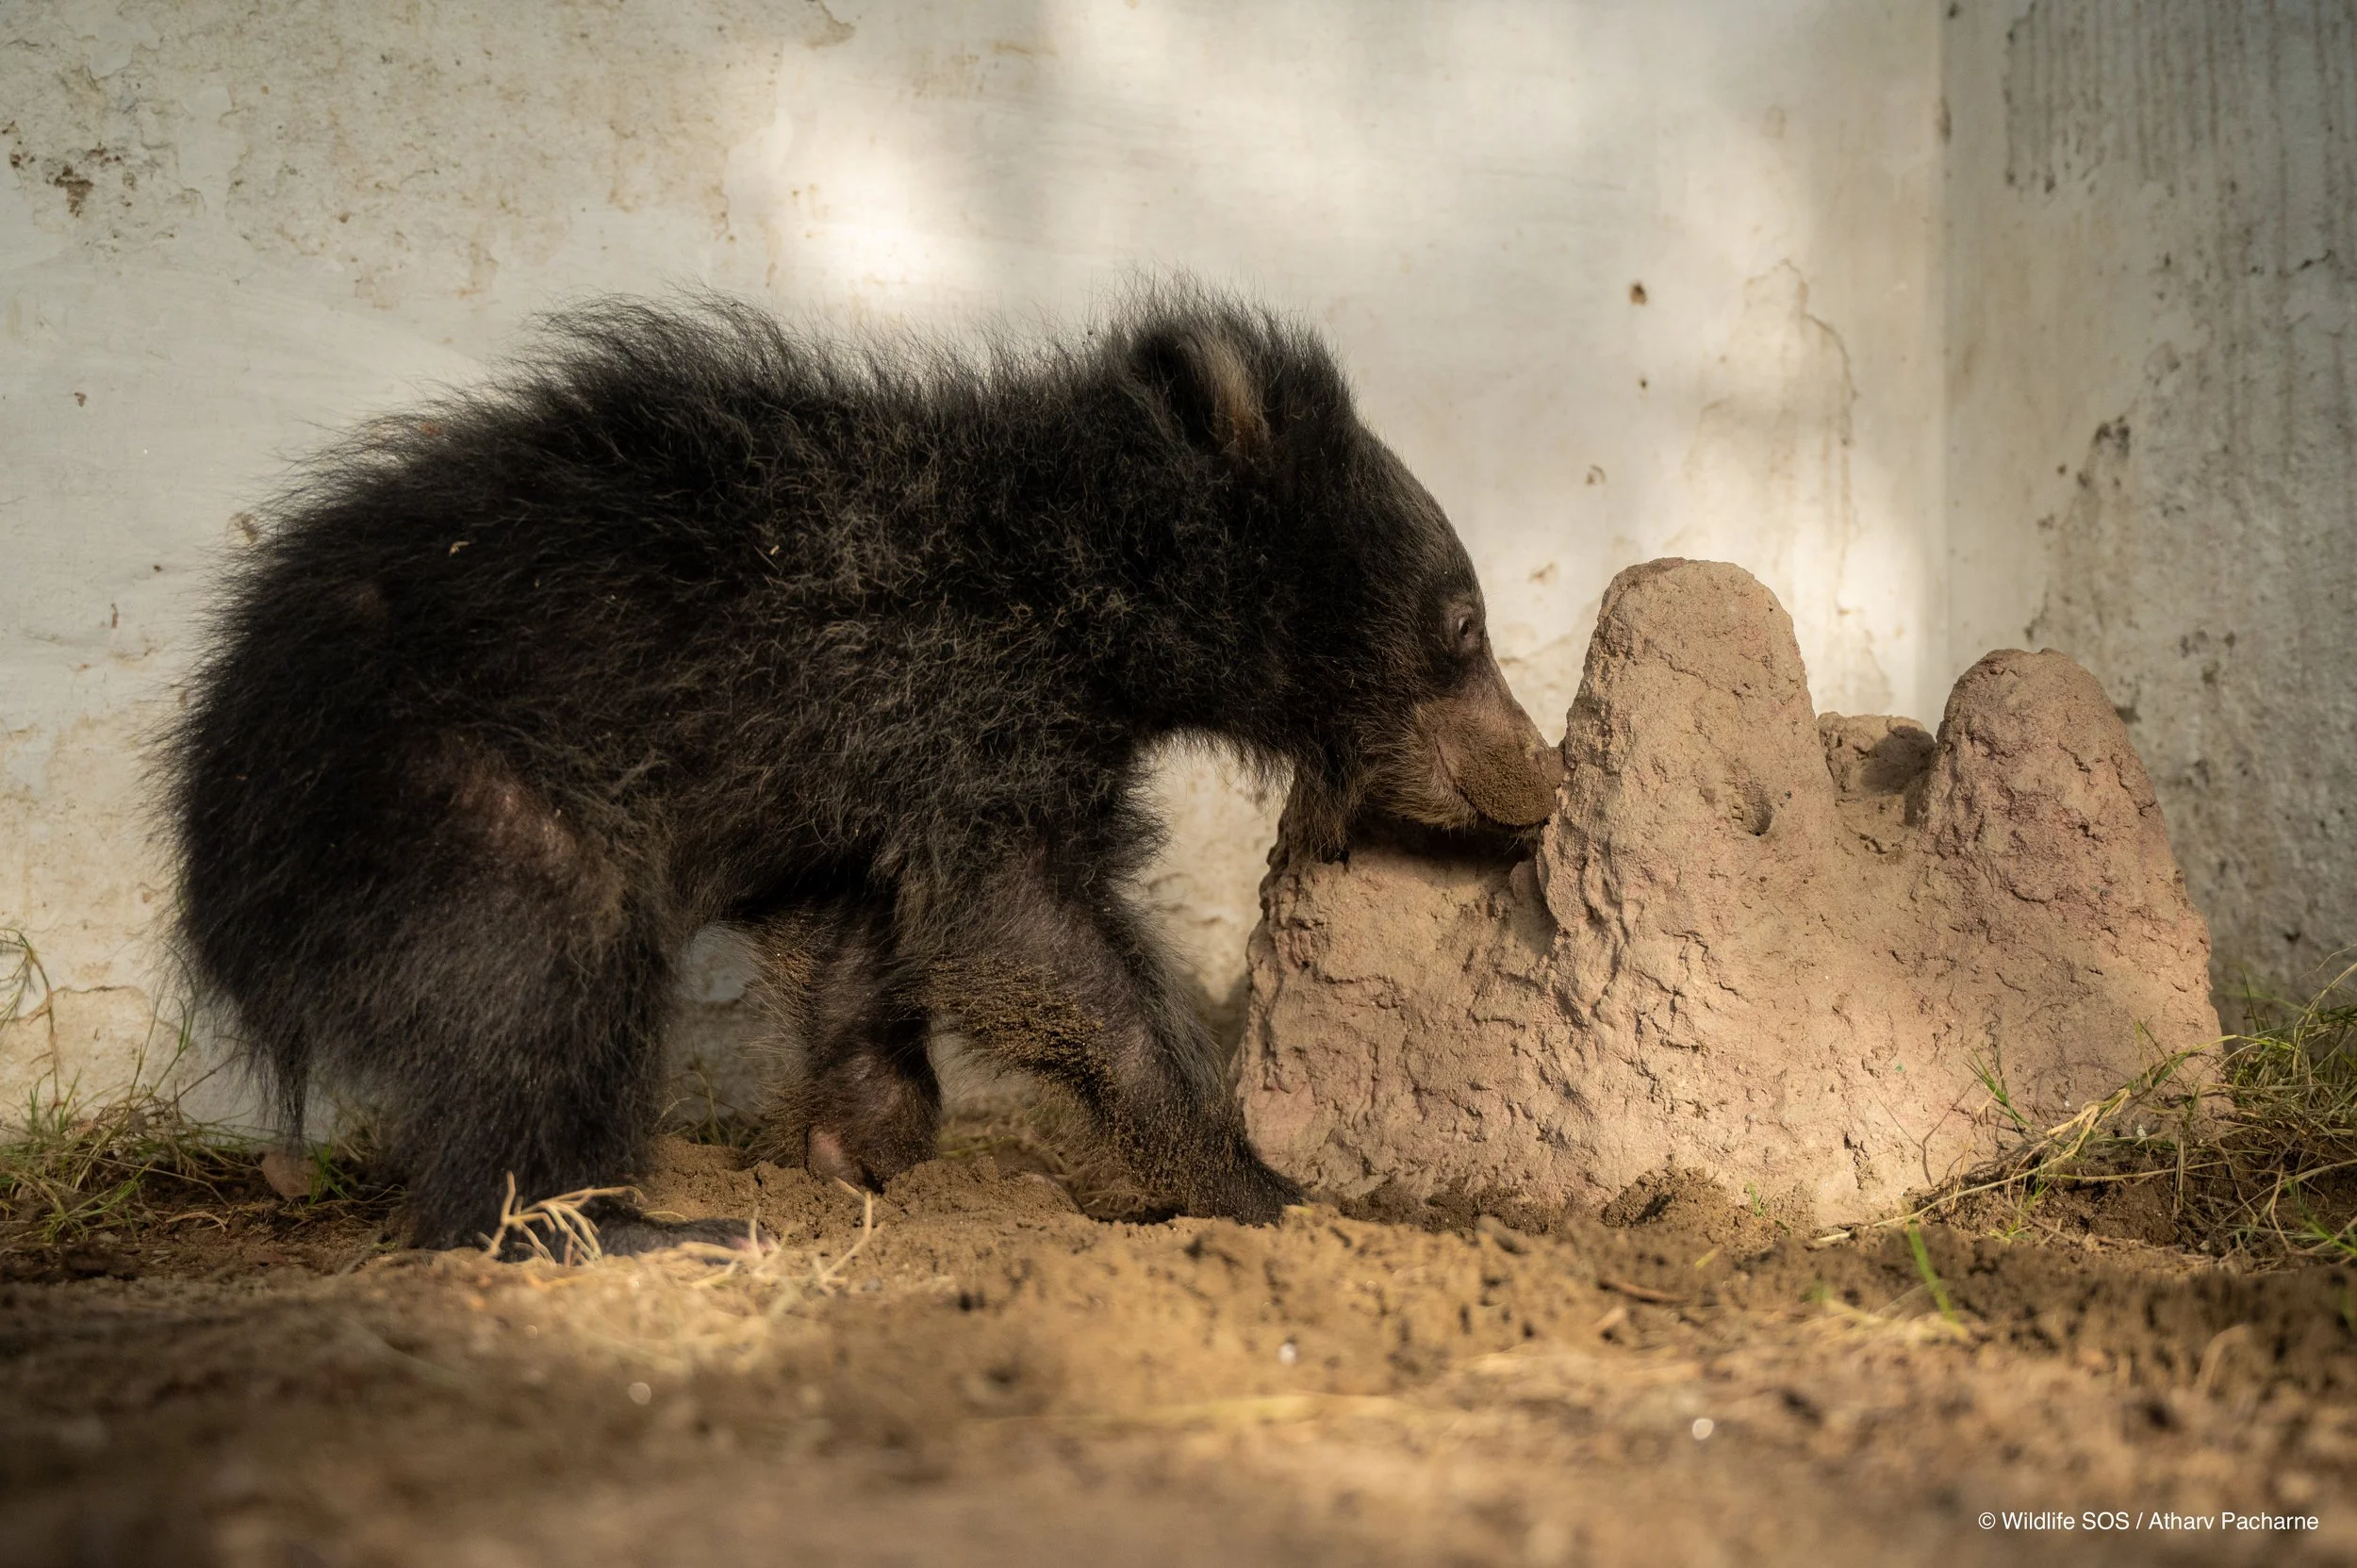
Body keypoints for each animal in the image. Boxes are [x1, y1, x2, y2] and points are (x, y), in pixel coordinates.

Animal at [164, 288, 1561, 1253]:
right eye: (1464, 624)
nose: (1537, 784)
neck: (1098, 586)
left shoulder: (861, 776)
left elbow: (850, 921)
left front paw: (861, 1138)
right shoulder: (968, 704)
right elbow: (1022, 931)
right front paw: (1262, 1187)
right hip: (455, 801)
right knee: (532, 985)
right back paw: (618, 1229)